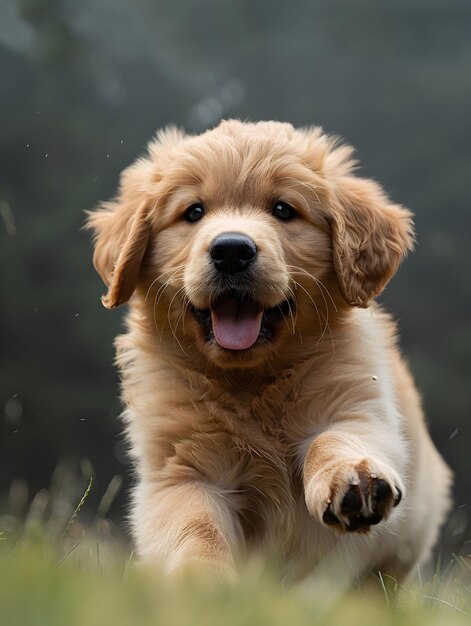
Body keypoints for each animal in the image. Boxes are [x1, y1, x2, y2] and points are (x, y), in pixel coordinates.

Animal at [86, 118, 452, 580]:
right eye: (193, 212)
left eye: (283, 209)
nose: (231, 250)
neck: (251, 380)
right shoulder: (179, 468)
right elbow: (195, 525)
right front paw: (202, 581)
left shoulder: (357, 403)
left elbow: (333, 439)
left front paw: (353, 478)